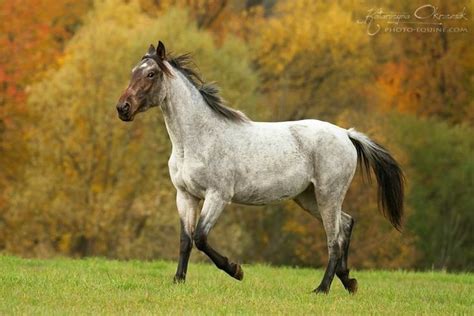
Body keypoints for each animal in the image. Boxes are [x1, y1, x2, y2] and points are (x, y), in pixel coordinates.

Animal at [115, 41, 404, 294]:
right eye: (132, 72)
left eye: (151, 74)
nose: (122, 108)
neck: (196, 139)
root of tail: (346, 134)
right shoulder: (185, 196)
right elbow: (185, 240)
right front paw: (178, 281)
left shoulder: (218, 196)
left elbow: (200, 238)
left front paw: (236, 270)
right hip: (308, 198)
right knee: (346, 224)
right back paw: (349, 282)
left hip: (327, 195)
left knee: (334, 239)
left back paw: (321, 289)